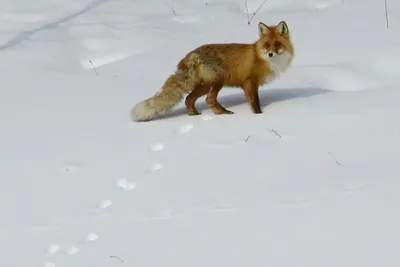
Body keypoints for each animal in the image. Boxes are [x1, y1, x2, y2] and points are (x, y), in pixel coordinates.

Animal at [131, 20, 294, 122]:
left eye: (277, 44)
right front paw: (259, 117)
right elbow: (255, 103)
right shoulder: (249, 82)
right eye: (267, 45)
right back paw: (224, 113)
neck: (260, 57)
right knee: (209, 99)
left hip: (205, 85)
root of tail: (193, 54)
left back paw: (194, 115)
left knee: (189, 98)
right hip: (218, 80)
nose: (270, 54)